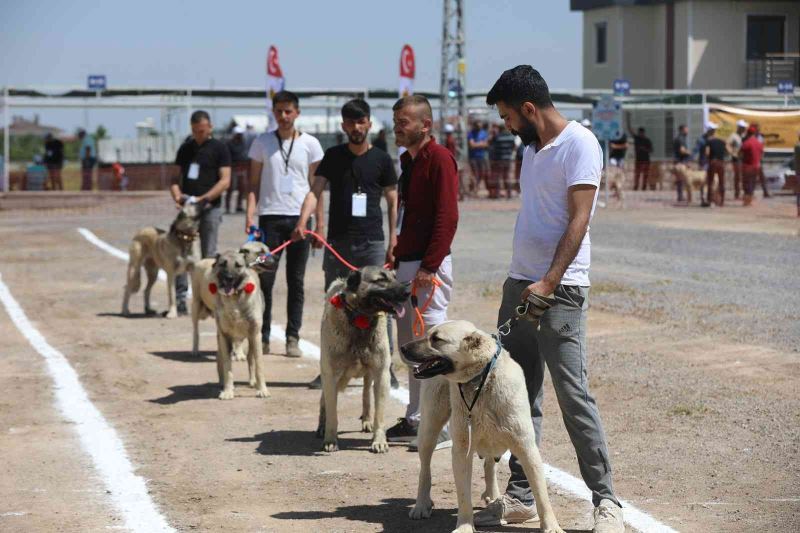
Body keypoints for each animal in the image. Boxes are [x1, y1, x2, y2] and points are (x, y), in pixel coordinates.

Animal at [209, 250, 276, 400]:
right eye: (223, 264)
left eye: (238, 265)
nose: (228, 278)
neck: (234, 299)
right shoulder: (224, 336)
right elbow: (227, 367)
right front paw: (227, 391)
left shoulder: (255, 335)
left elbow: (259, 365)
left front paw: (262, 389)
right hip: (220, 340)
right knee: (219, 358)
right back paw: (222, 383)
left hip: (251, 339)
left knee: (251, 359)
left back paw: (253, 382)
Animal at [316, 266, 410, 454]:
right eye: (381, 279)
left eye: (394, 277)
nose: (408, 292)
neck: (360, 318)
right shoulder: (331, 376)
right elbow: (332, 412)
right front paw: (330, 439)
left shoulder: (381, 375)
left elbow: (379, 414)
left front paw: (379, 440)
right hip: (330, 377)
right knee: (324, 401)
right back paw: (321, 426)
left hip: (369, 375)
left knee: (366, 395)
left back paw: (366, 420)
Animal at [400, 320, 564, 532]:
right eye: (428, 334)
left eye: (436, 339)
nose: (402, 348)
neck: (481, 381)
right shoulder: (462, 450)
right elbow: (463, 496)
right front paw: (464, 526)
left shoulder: (527, 448)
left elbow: (541, 494)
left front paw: (551, 526)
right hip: (429, 428)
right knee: (425, 470)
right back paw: (421, 505)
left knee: (489, 464)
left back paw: (493, 495)